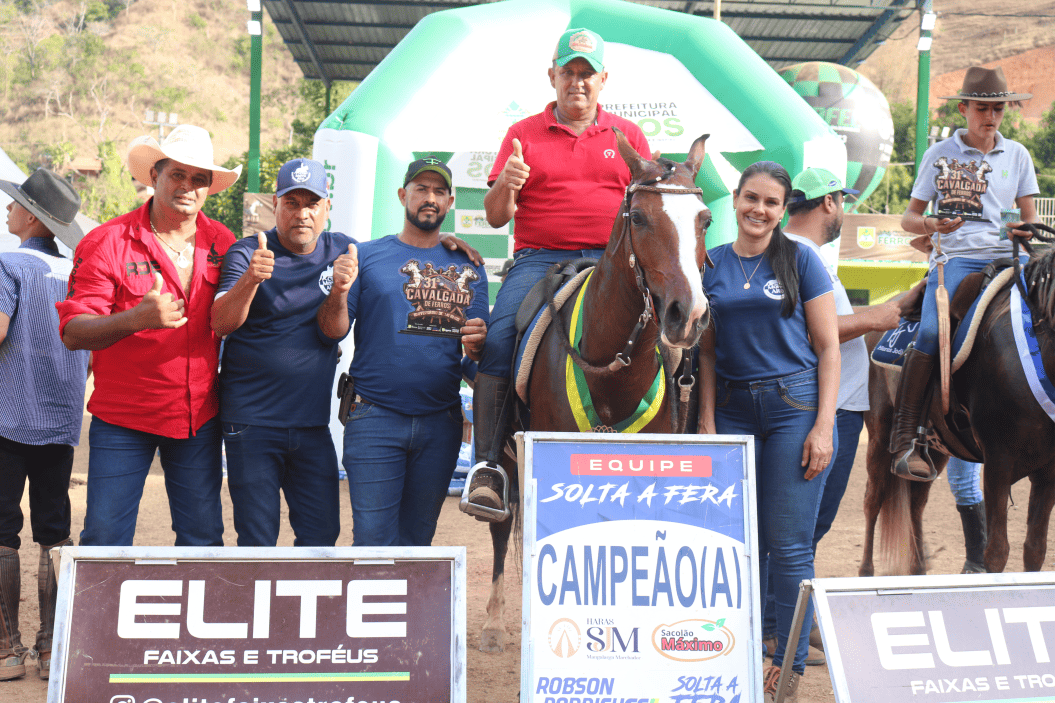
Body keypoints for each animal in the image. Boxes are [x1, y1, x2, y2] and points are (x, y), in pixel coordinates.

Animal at [473, 130, 712, 652]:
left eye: (704, 219)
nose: (687, 315)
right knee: (502, 527)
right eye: (639, 217)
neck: (611, 367)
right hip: (506, 457)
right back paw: (494, 621)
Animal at [860, 245, 1055, 576]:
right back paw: (866, 573)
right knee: (873, 499)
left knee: (916, 503)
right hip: (879, 433)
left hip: (935, 448)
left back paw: (918, 570)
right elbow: (997, 552)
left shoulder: (1048, 470)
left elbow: (1035, 551)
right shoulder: (999, 462)